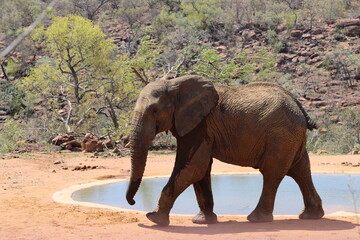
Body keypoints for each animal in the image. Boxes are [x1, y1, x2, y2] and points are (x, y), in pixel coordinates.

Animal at [125, 75, 324, 225]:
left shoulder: (200, 125)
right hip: (290, 137)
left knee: (272, 172)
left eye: (154, 110)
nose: (133, 202)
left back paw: (257, 219)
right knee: (300, 169)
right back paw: (311, 216)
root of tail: (298, 105)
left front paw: (154, 219)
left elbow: (194, 167)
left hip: (281, 135)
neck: (176, 84)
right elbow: (201, 170)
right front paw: (203, 221)